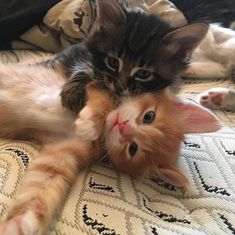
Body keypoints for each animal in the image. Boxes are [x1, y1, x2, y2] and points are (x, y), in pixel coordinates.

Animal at [0, 63, 220, 235]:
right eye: (149, 116)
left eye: (133, 148)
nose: (123, 127)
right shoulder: (98, 89)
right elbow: (101, 103)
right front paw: (90, 122)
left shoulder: (62, 153)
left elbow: (42, 185)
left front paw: (22, 222)